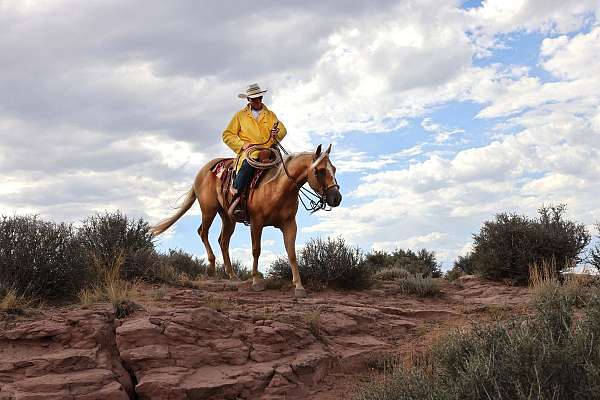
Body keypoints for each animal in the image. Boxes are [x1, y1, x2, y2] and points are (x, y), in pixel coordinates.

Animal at [150, 144, 342, 296]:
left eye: (334, 169)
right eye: (320, 171)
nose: (336, 198)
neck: (278, 188)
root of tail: (204, 169)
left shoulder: (289, 224)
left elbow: (292, 253)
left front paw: (299, 286)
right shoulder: (256, 222)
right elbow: (256, 250)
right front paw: (256, 281)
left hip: (228, 217)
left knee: (223, 241)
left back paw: (232, 274)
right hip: (208, 210)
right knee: (203, 232)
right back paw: (211, 268)